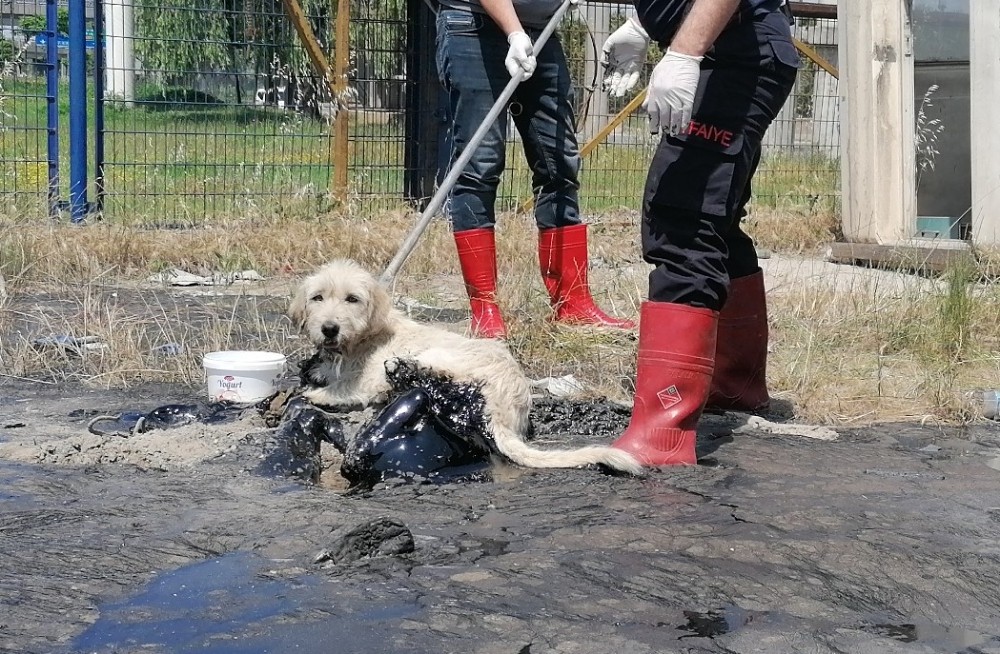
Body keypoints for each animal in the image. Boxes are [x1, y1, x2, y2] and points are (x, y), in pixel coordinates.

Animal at [288, 258, 640, 480]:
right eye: (317, 297)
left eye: (352, 299)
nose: (329, 329)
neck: (359, 342)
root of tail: (505, 412)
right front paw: (317, 370)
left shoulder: (365, 381)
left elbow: (345, 389)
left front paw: (317, 392)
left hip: (444, 358)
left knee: (422, 375)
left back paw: (405, 368)